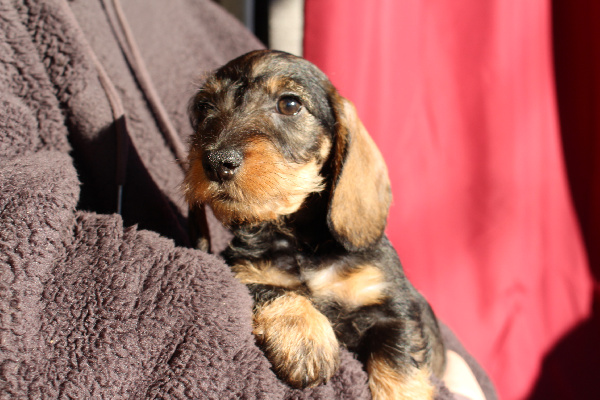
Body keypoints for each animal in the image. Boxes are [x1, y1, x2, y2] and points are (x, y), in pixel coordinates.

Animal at [184, 50, 445, 399]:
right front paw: (304, 334)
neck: (299, 240)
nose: (215, 162)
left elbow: (400, 367)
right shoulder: (240, 270)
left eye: (289, 104)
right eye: (204, 107)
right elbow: (273, 288)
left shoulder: (392, 309)